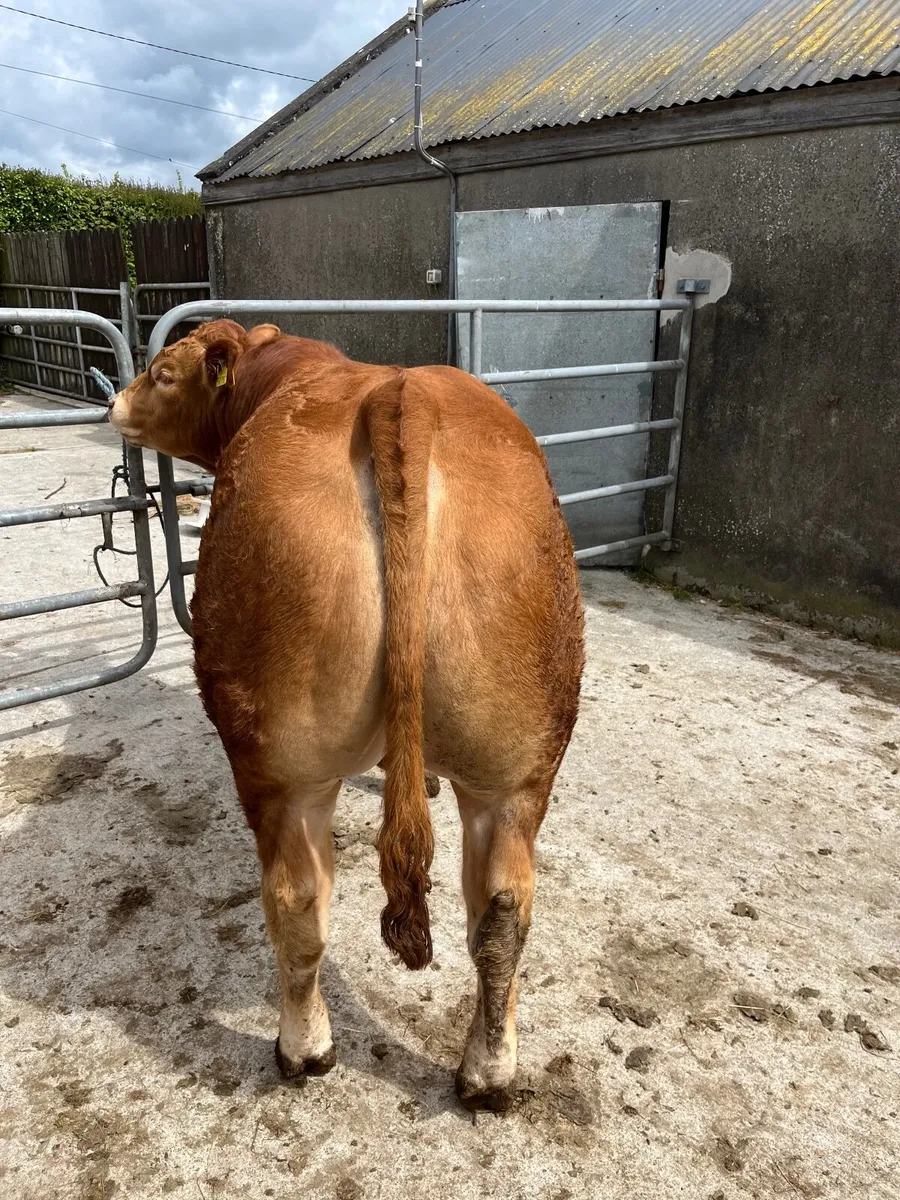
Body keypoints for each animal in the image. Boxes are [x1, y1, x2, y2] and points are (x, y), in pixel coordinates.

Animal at [109, 319, 584, 1111]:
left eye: (163, 372)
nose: (115, 400)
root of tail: (397, 396)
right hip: (519, 762)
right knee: (502, 910)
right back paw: (488, 1076)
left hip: (281, 764)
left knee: (297, 902)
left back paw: (303, 1051)